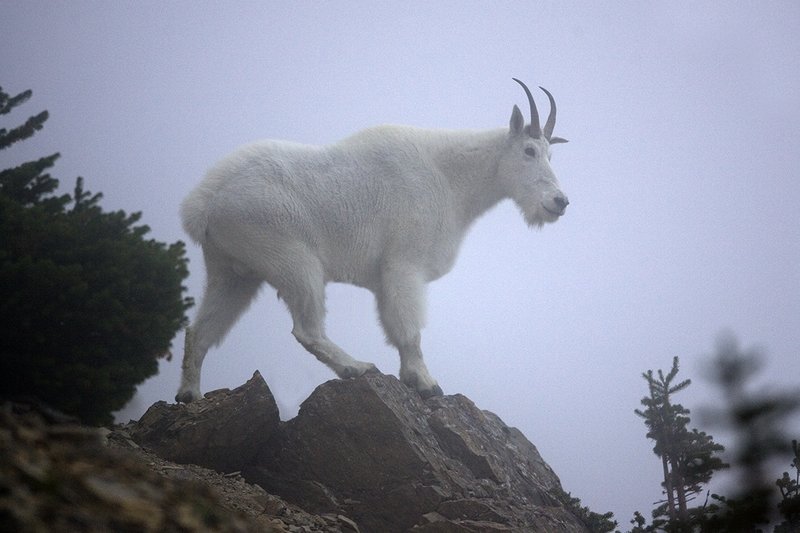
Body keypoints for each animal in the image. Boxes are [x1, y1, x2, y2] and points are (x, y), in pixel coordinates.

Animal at [176, 79, 569, 402]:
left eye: (551, 154)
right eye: (529, 151)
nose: (559, 201)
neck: (449, 176)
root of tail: (204, 203)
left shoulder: (385, 276)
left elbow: (395, 325)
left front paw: (412, 377)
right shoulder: (404, 263)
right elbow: (409, 328)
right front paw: (426, 383)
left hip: (233, 270)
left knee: (200, 330)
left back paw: (189, 394)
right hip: (289, 256)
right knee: (306, 328)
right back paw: (356, 367)